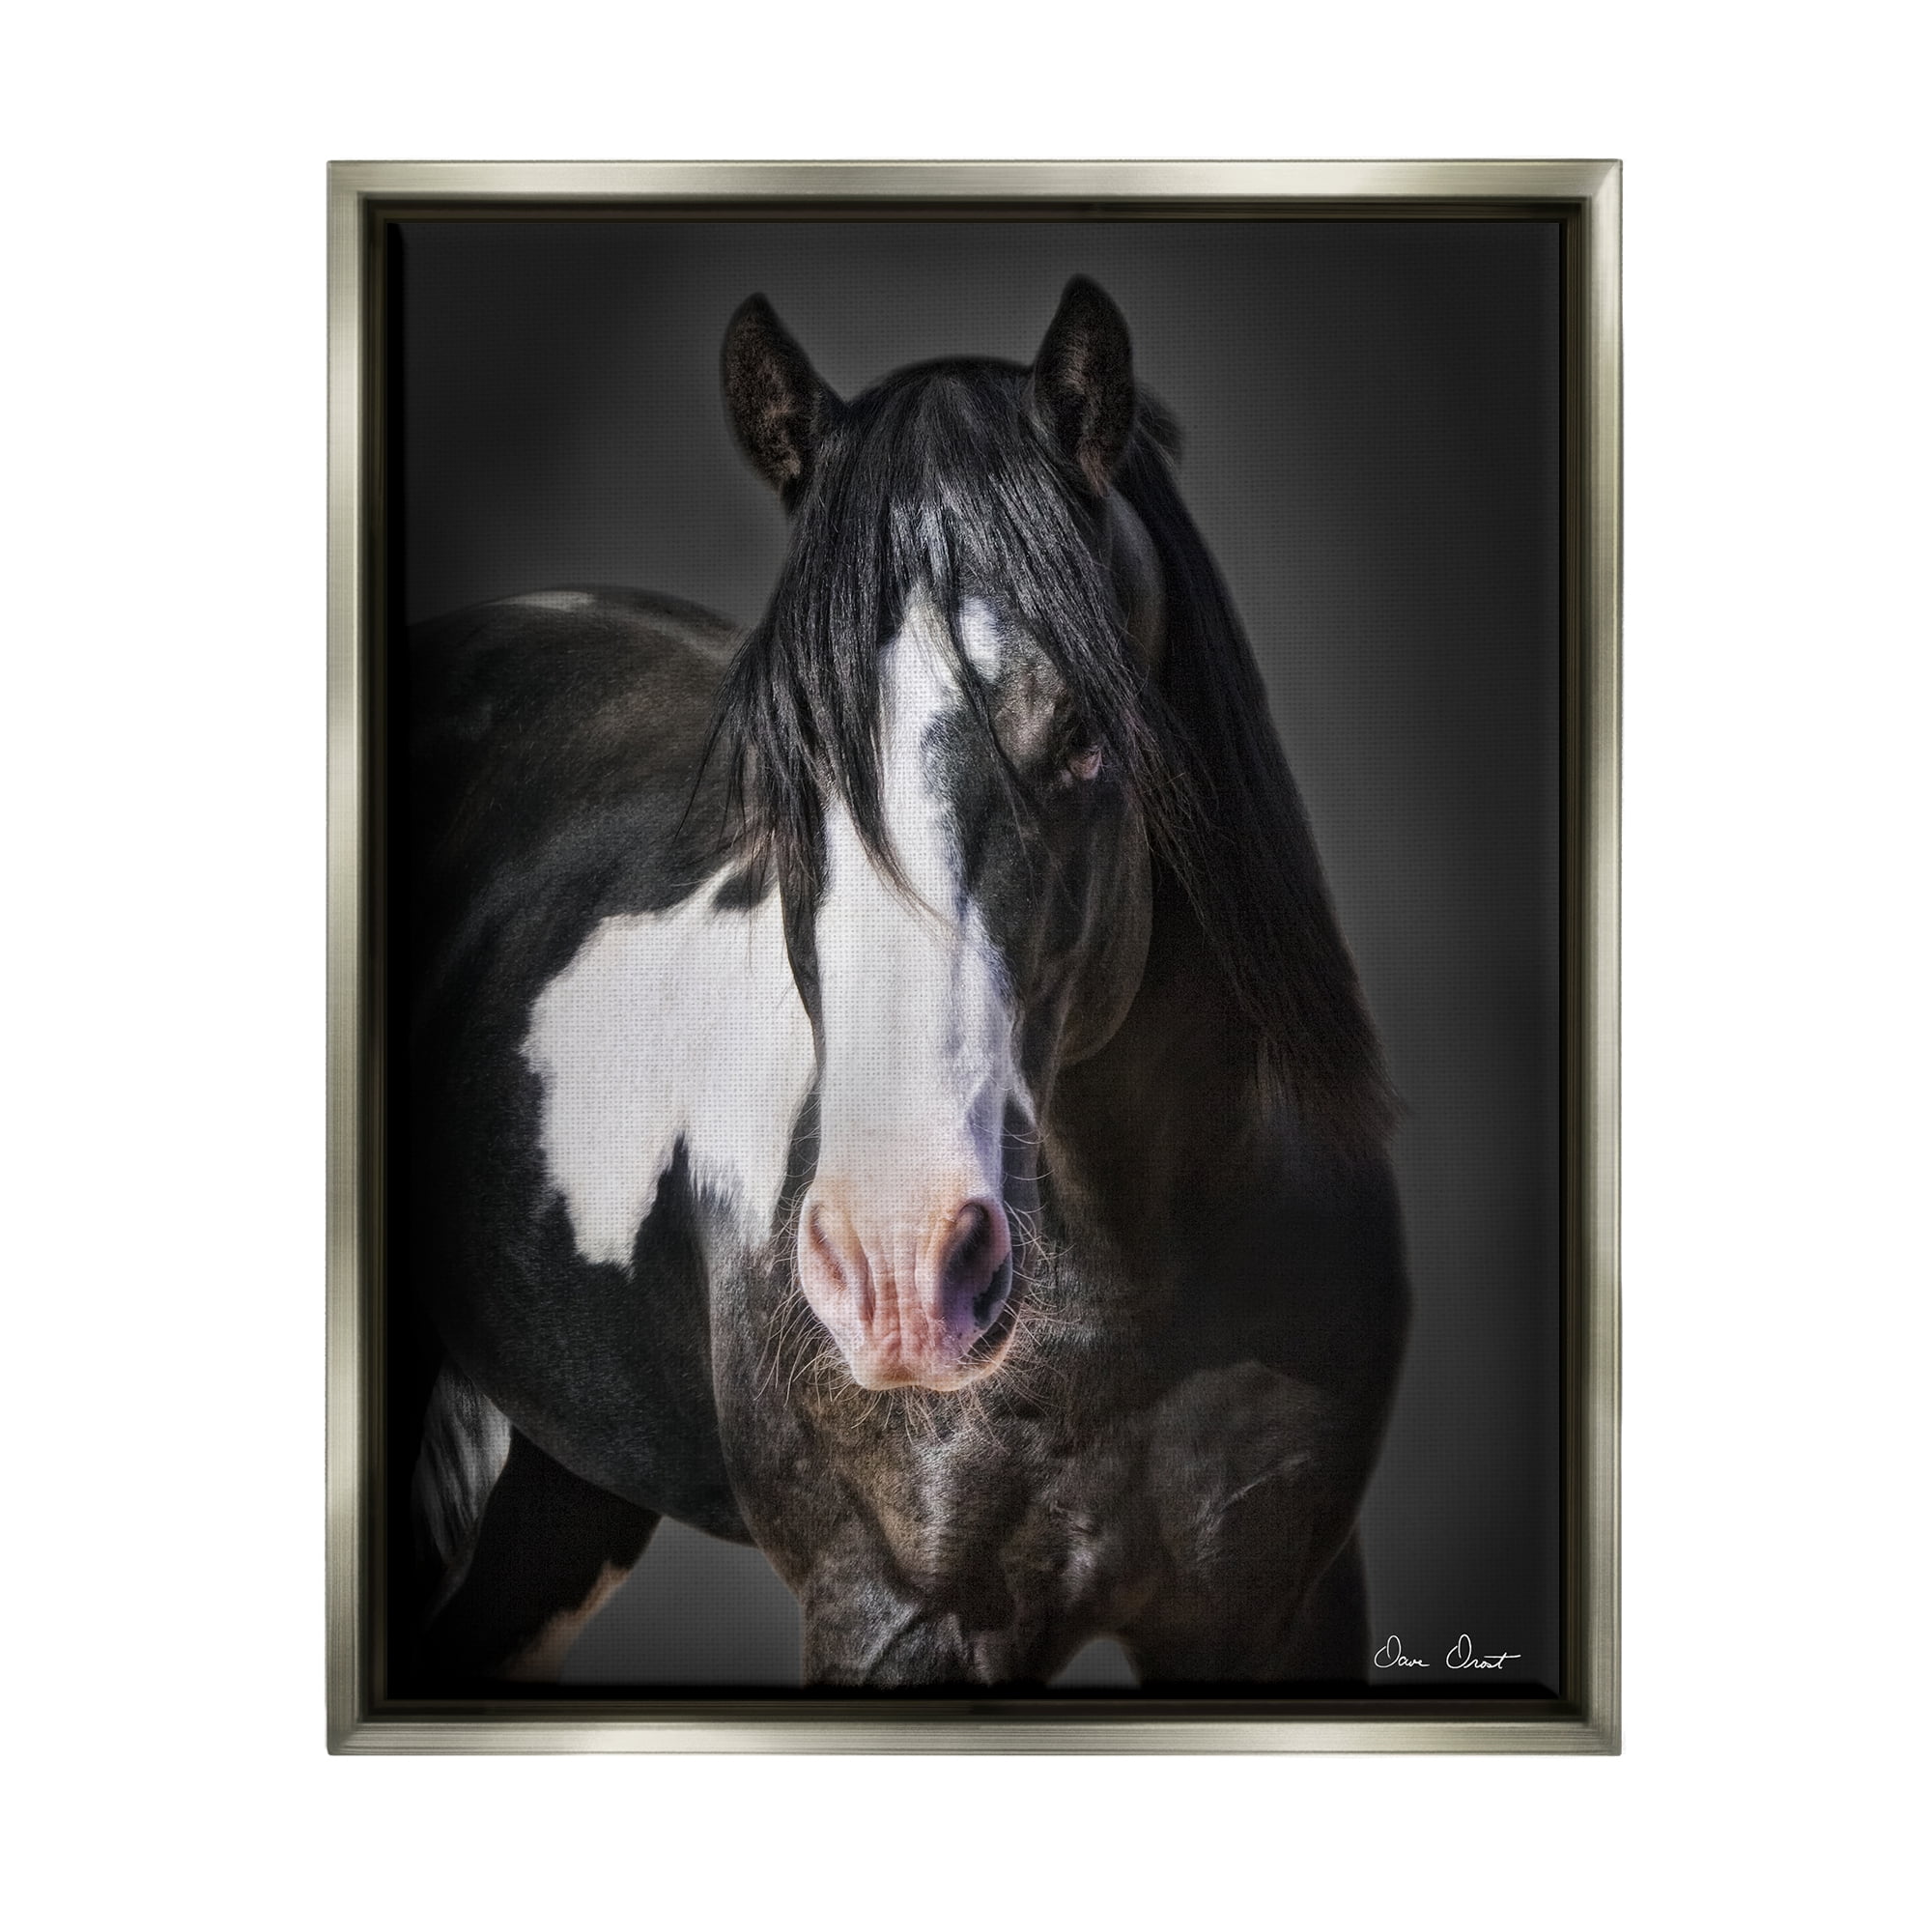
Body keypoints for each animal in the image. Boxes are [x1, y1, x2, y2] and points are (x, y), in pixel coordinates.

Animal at [400, 276, 1411, 1689]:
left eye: (1083, 736)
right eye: (783, 756)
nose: (898, 1270)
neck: (1140, 1279)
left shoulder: (1278, 1612)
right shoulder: (896, 1624)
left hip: (561, 1482)